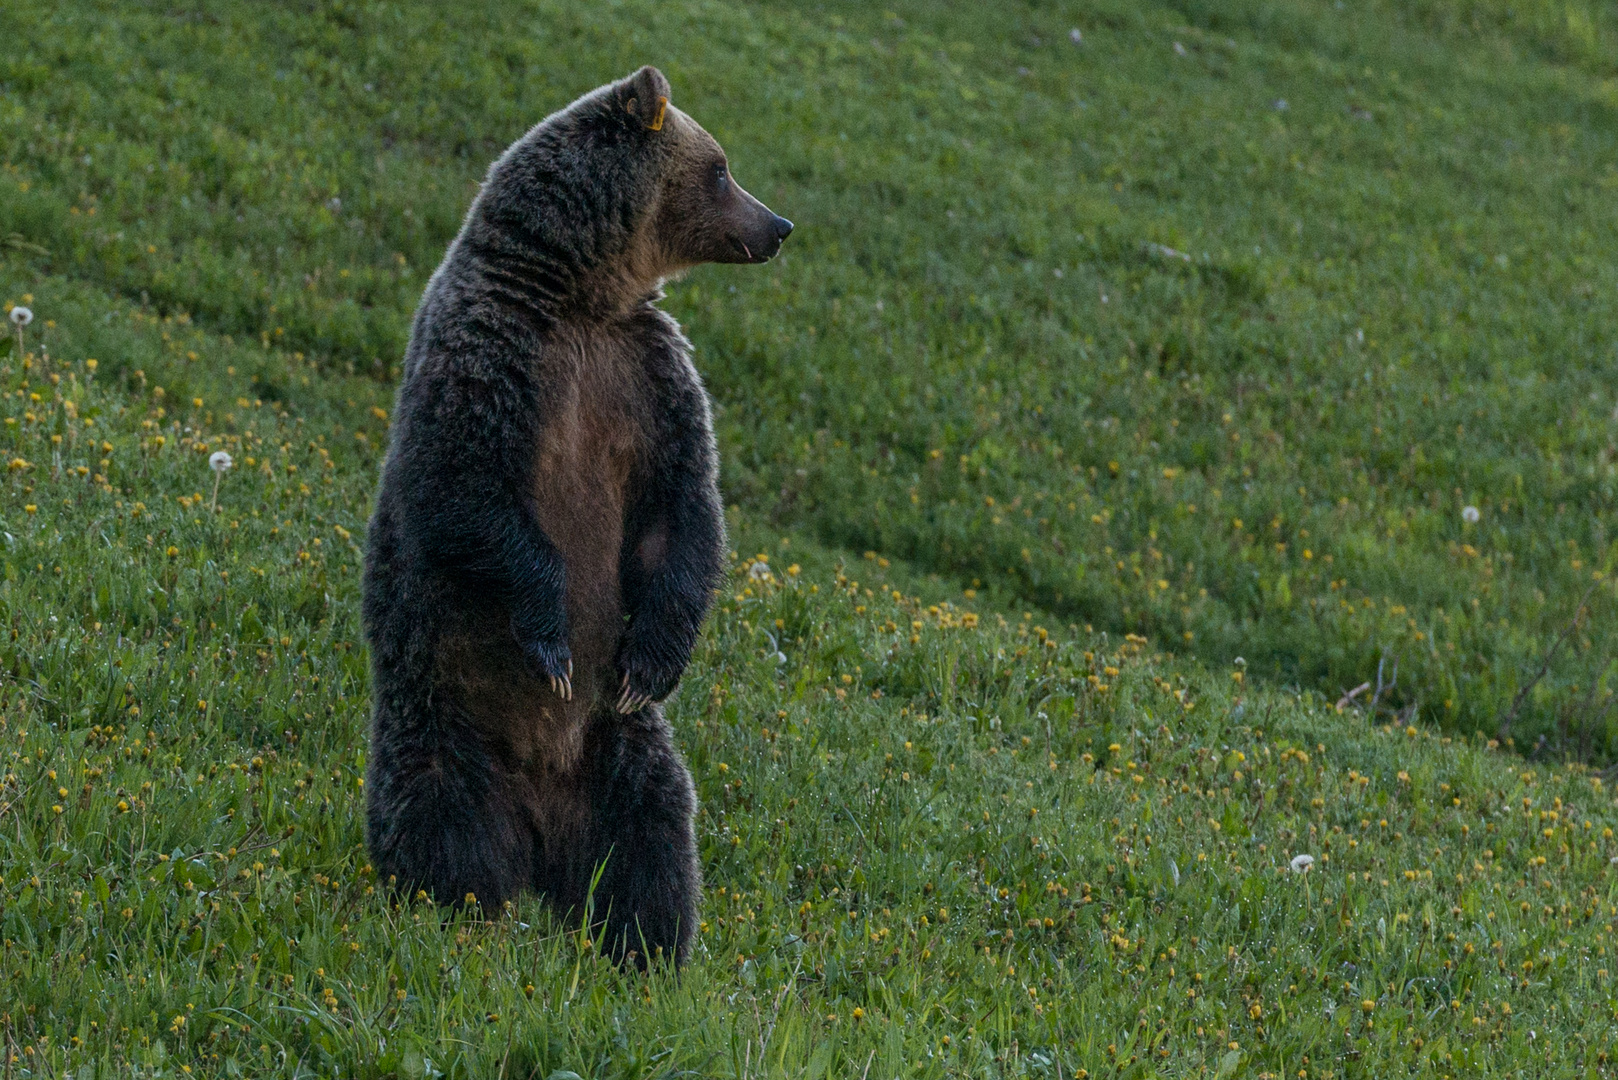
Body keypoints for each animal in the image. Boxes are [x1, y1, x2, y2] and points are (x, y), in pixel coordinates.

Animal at [367, 65, 796, 965]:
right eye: (721, 168)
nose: (777, 226)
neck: (579, 295)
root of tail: (539, 831)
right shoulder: (491, 358)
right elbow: (469, 495)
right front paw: (552, 644)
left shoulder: (648, 381)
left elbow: (684, 517)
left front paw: (652, 663)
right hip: (443, 718)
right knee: (439, 820)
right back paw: (456, 910)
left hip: (621, 753)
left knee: (651, 841)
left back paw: (647, 947)